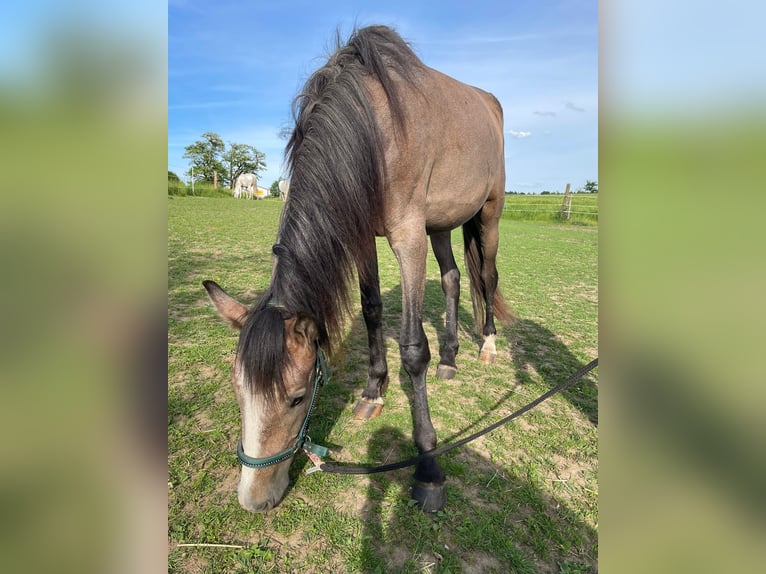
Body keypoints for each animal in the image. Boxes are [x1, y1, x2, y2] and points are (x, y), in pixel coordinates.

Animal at [207, 24, 512, 516]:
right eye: (239, 392)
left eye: (296, 398)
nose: (254, 500)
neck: (373, 128)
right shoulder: (365, 234)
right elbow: (371, 310)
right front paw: (373, 392)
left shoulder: (407, 236)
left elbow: (413, 348)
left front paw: (428, 467)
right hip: (442, 224)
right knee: (451, 279)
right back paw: (450, 359)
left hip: (489, 214)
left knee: (485, 278)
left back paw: (486, 345)